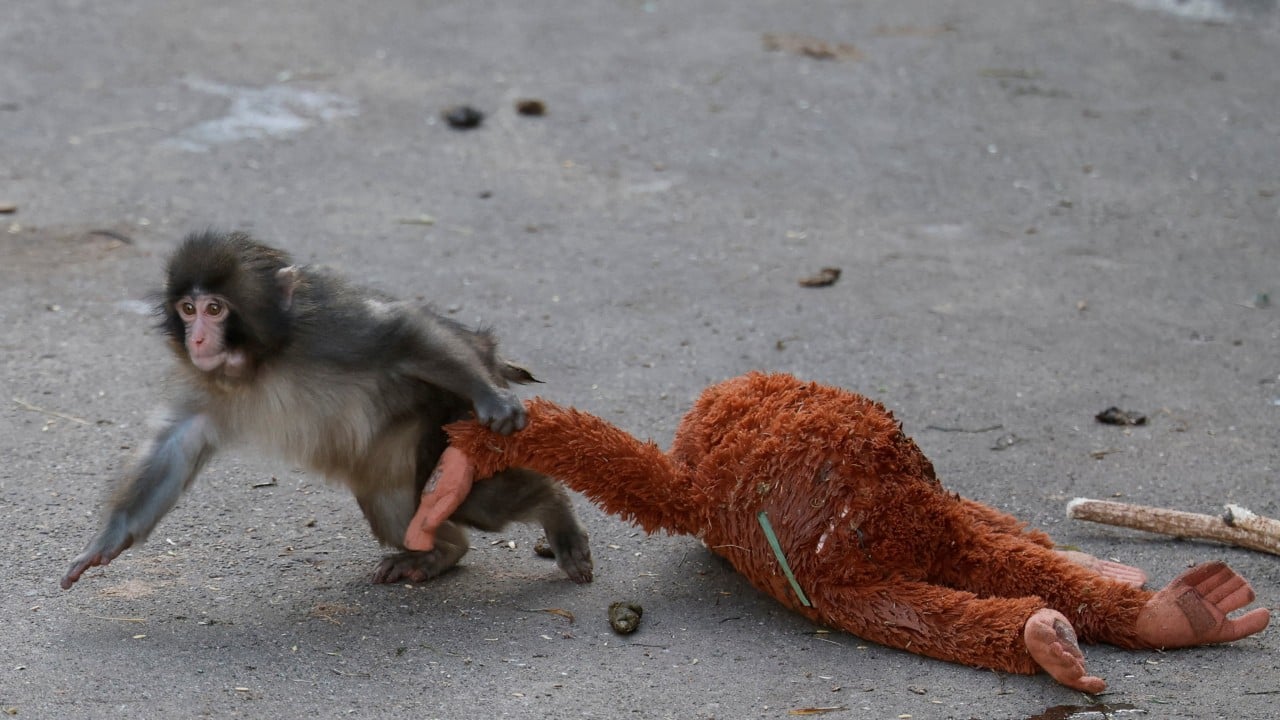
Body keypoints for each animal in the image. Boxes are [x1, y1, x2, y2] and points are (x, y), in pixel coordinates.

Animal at [61, 230, 592, 590]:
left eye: (215, 309)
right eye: (187, 310)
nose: (196, 339)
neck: (262, 361)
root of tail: (489, 352)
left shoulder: (328, 328)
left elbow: (398, 333)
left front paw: (495, 399)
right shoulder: (205, 382)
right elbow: (176, 443)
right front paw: (106, 542)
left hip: (450, 415)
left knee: (484, 499)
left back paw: (555, 512)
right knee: (396, 508)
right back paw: (439, 553)